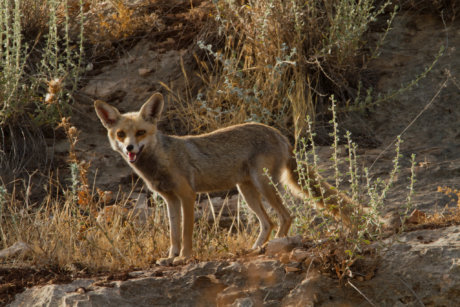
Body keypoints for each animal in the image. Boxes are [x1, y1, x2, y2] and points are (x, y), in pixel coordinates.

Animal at [94, 92, 356, 266]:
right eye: (121, 134)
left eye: (140, 133)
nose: (129, 148)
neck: (161, 161)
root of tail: (280, 135)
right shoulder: (170, 199)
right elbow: (173, 233)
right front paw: (170, 257)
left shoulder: (187, 195)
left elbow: (186, 233)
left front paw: (184, 258)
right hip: (246, 190)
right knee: (268, 222)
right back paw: (256, 249)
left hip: (263, 185)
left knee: (285, 217)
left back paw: (274, 247)